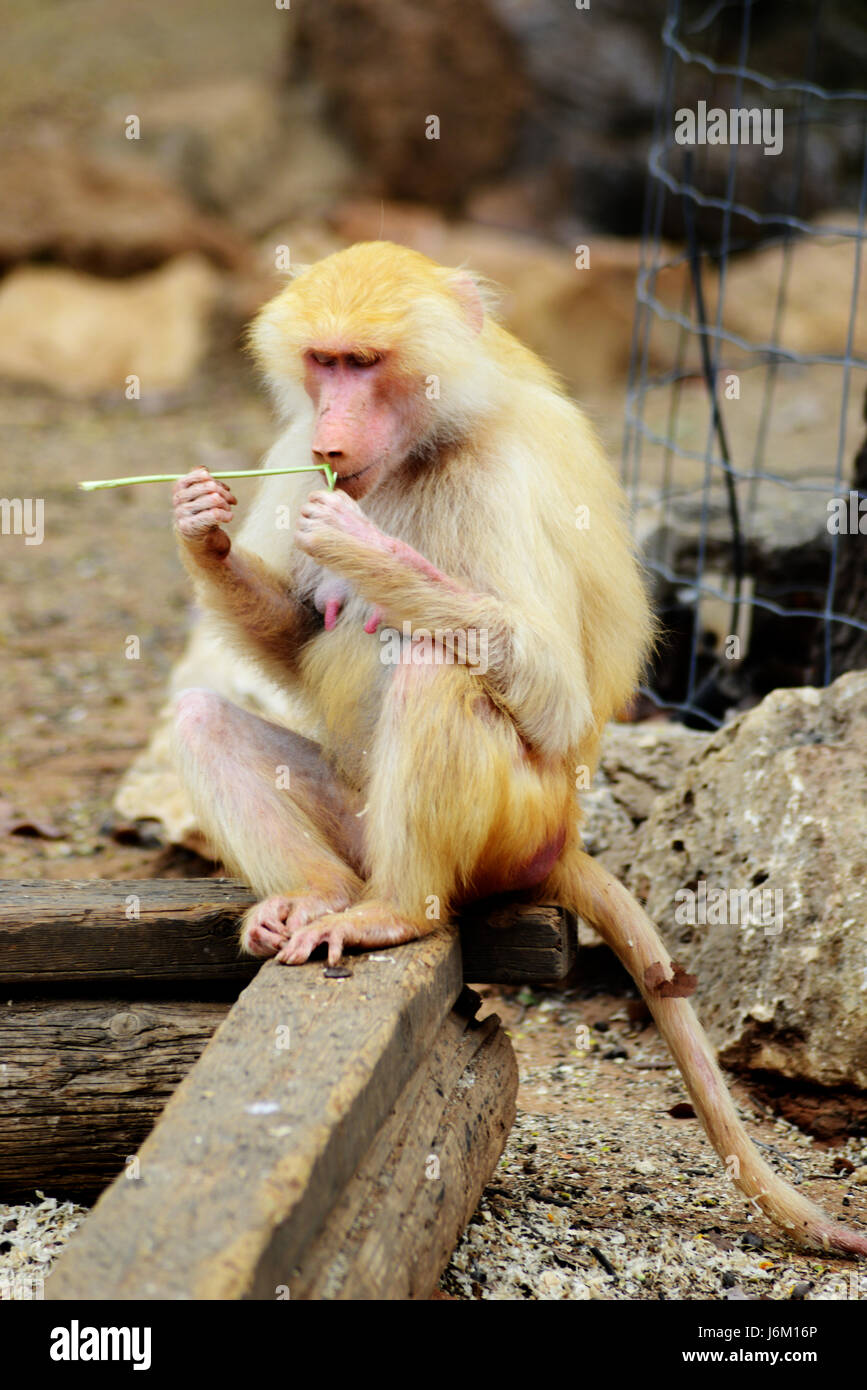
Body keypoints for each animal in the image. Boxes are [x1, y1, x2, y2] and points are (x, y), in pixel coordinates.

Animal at [170, 241, 867, 1262]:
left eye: (365, 363)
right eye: (324, 363)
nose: (331, 430)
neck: (424, 445)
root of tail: (563, 838)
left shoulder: (500, 477)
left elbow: (551, 688)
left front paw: (361, 546)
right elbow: (298, 637)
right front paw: (202, 527)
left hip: (510, 830)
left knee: (437, 668)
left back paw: (395, 916)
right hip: (358, 818)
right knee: (201, 720)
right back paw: (317, 899)